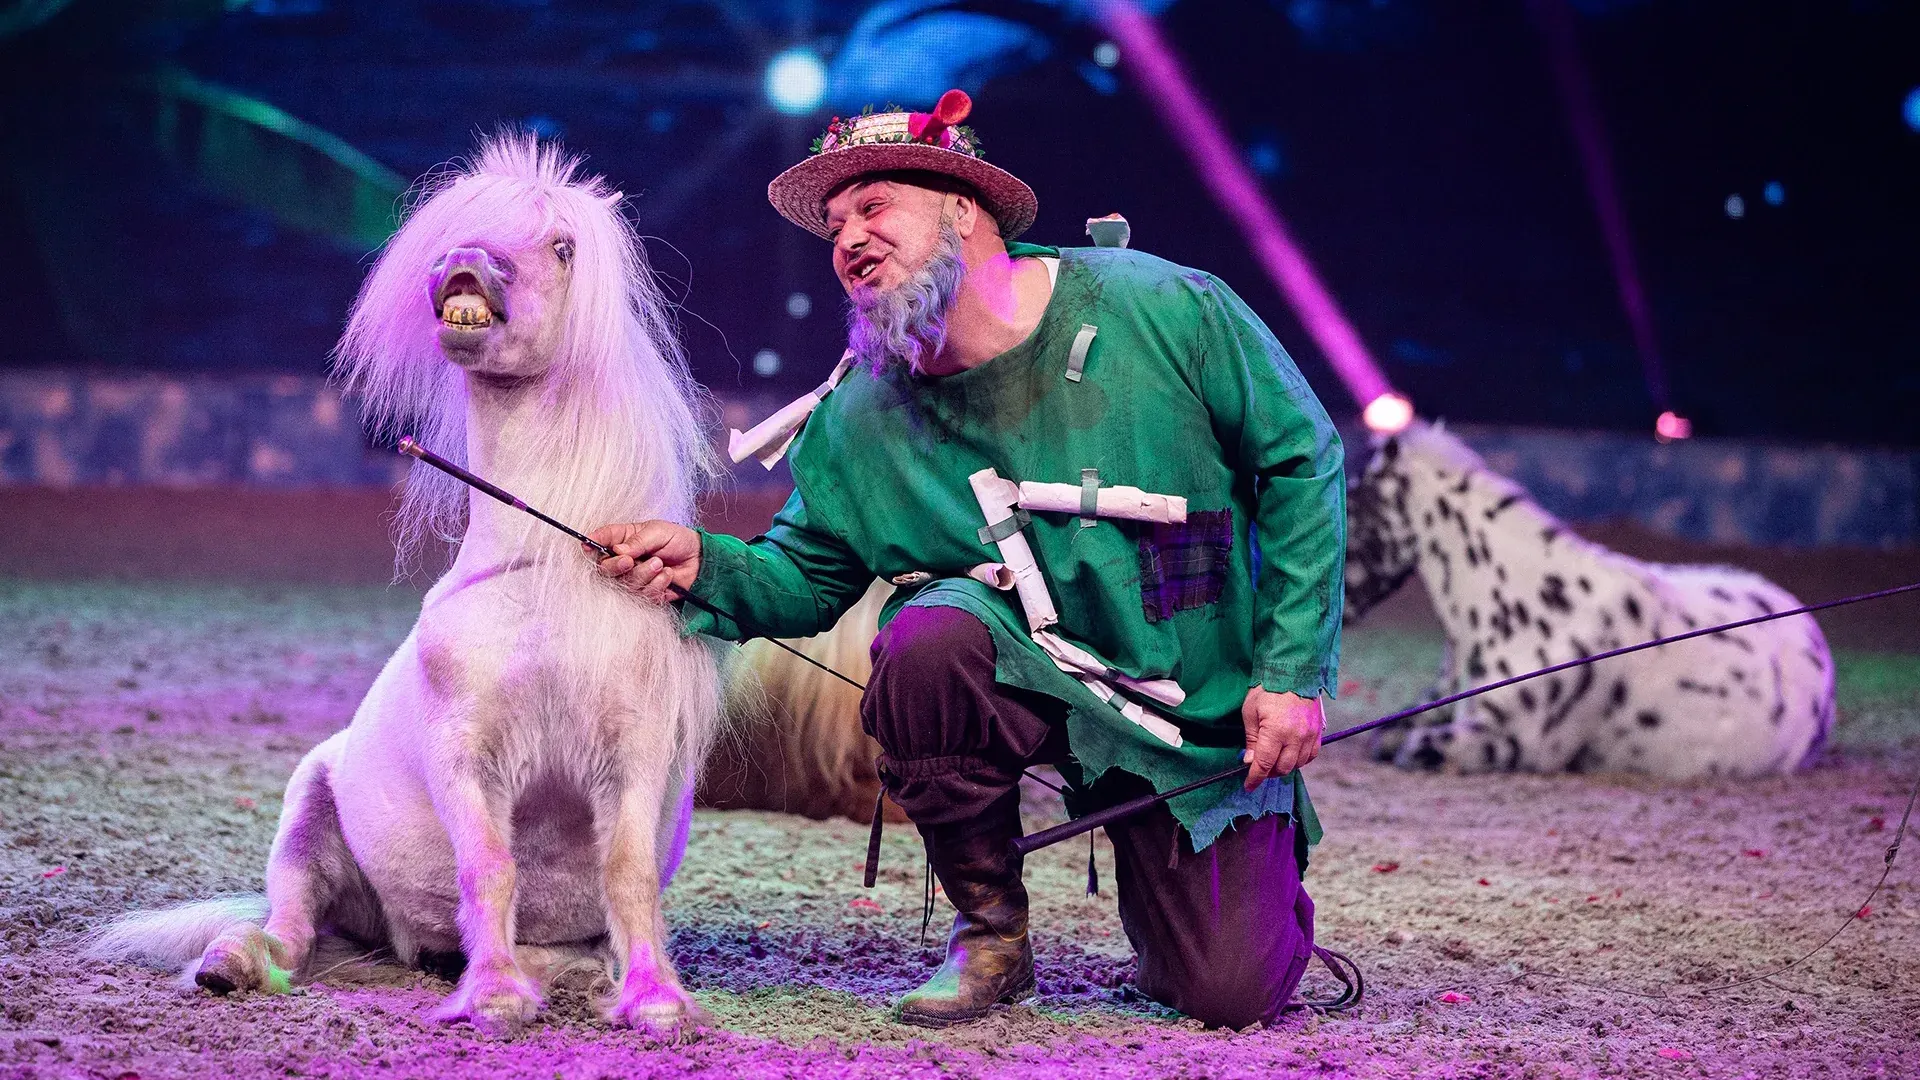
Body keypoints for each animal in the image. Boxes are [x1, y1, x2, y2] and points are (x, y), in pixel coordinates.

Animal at [88, 134, 725, 1037]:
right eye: (466, 229)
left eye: (562, 247)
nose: (467, 261)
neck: (542, 578)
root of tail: (391, 940)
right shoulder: (467, 756)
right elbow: (489, 868)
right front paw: (494, 997)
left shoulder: (630, 754)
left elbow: (628, 873)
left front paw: (654, 1001)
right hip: (306, 815)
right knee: (290, 929)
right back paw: (234, 964)